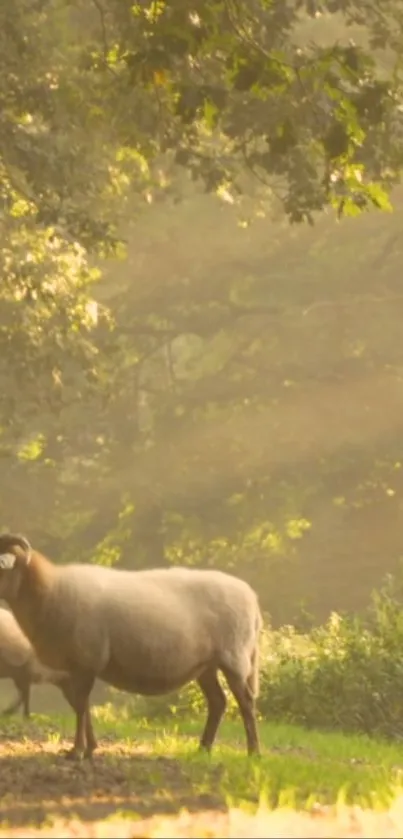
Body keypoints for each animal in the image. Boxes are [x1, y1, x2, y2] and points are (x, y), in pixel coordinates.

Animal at [0, 536, 264, 764]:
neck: (49, 589)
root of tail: (251, 597)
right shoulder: (79, 666)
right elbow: (82, 706)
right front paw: (90, 748)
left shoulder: (86, 659)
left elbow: (81, 706)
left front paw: (77, 751)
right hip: (206, 665)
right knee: (218, 702)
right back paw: (203, 749)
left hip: (234, 657)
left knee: (246, 702)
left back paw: (254, 753)